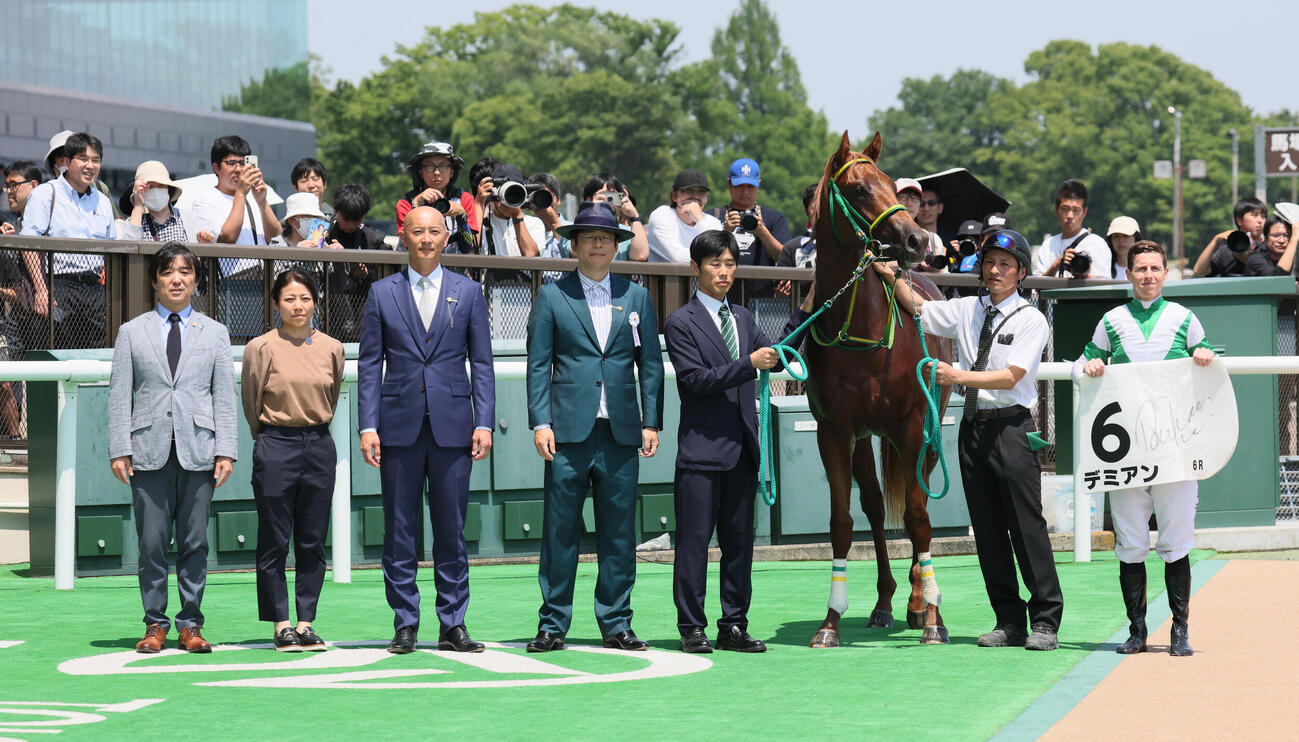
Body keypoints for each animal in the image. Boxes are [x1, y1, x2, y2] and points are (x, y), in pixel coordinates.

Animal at [803, 131, 954, 647]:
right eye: (858, 189)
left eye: (890, 183)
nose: (916, 239)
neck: (861, 332)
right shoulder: (834, 431)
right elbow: (843, 523)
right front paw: (830, 622)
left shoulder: (912, 425)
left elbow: (918, 518)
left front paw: (932, 618)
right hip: (866, 436)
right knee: (872, 505)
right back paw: (886, 602)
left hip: (927, 434)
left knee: (916, 501)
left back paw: (918, 601)